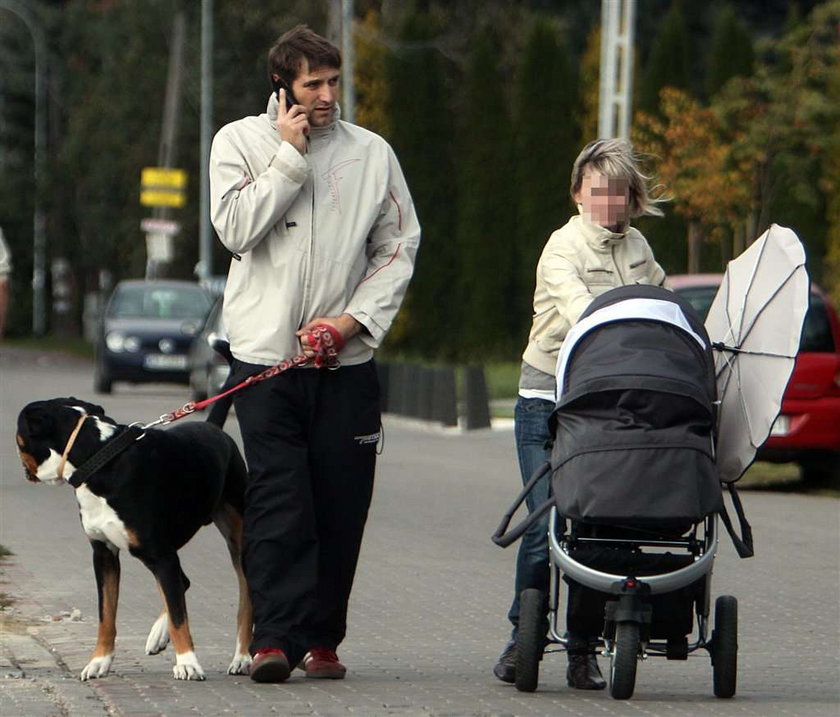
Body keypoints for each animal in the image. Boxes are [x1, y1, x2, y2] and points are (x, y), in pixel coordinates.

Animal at [15, 398, 253, 684]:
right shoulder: (104, 555)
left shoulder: (161, 555)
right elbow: (106, 615)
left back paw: (241, 658)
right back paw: (158, 636)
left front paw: (187, 663)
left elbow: (178, 617)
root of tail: (213, 428)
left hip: (237, 539)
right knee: (181, 583)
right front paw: (99, 661)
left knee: (243, 599)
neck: (97, 457)